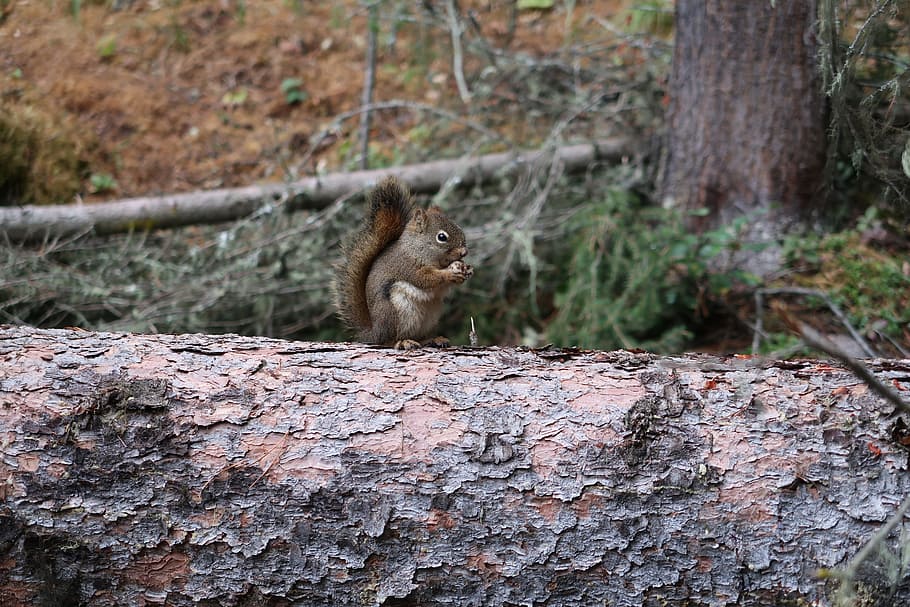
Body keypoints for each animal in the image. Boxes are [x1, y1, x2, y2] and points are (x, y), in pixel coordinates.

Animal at [334, 176, 473, 349]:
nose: (464, 252)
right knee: (388, 340)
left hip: (429, 317)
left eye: (459, 228)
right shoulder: (407, 266)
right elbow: (424, 279)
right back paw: (402, 342)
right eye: (441, 237)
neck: (417, 250)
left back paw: (433, 339)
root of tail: (373, 333)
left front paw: (467, 270)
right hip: (396, 312)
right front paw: (449, 273)